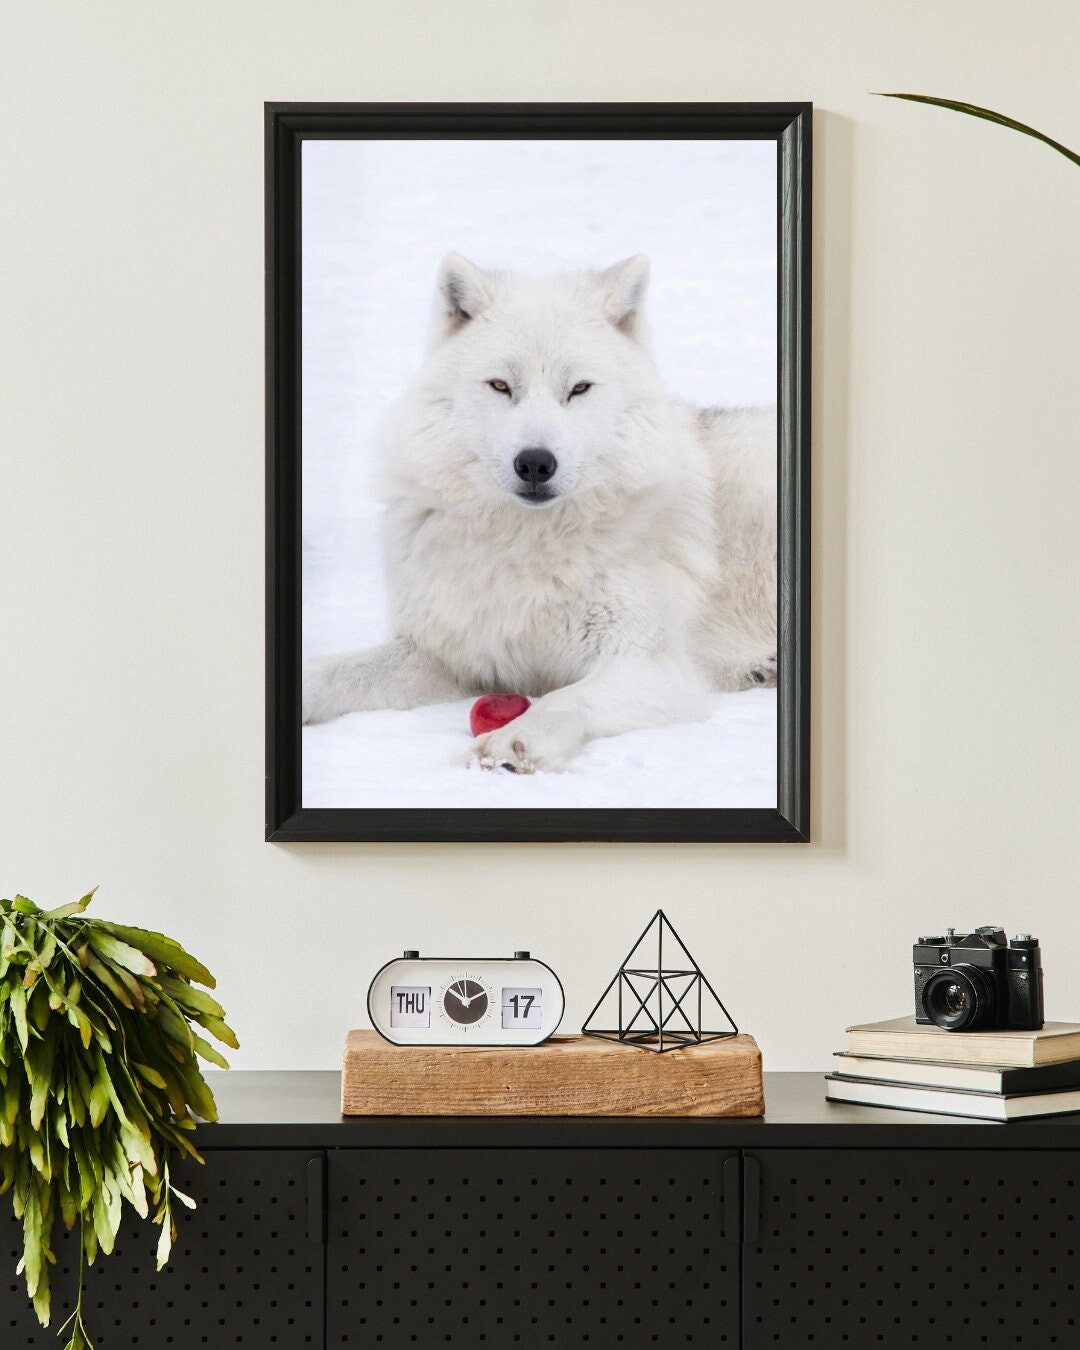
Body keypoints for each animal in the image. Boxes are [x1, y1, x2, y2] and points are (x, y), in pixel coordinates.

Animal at [302, 253, 777, 773]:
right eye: (500, 386)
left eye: (579, 389)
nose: (534, 462)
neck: (525, 545)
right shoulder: (448, 655)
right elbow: (334, 671)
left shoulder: (654, 668)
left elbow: (565, 698)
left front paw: (516, 740)